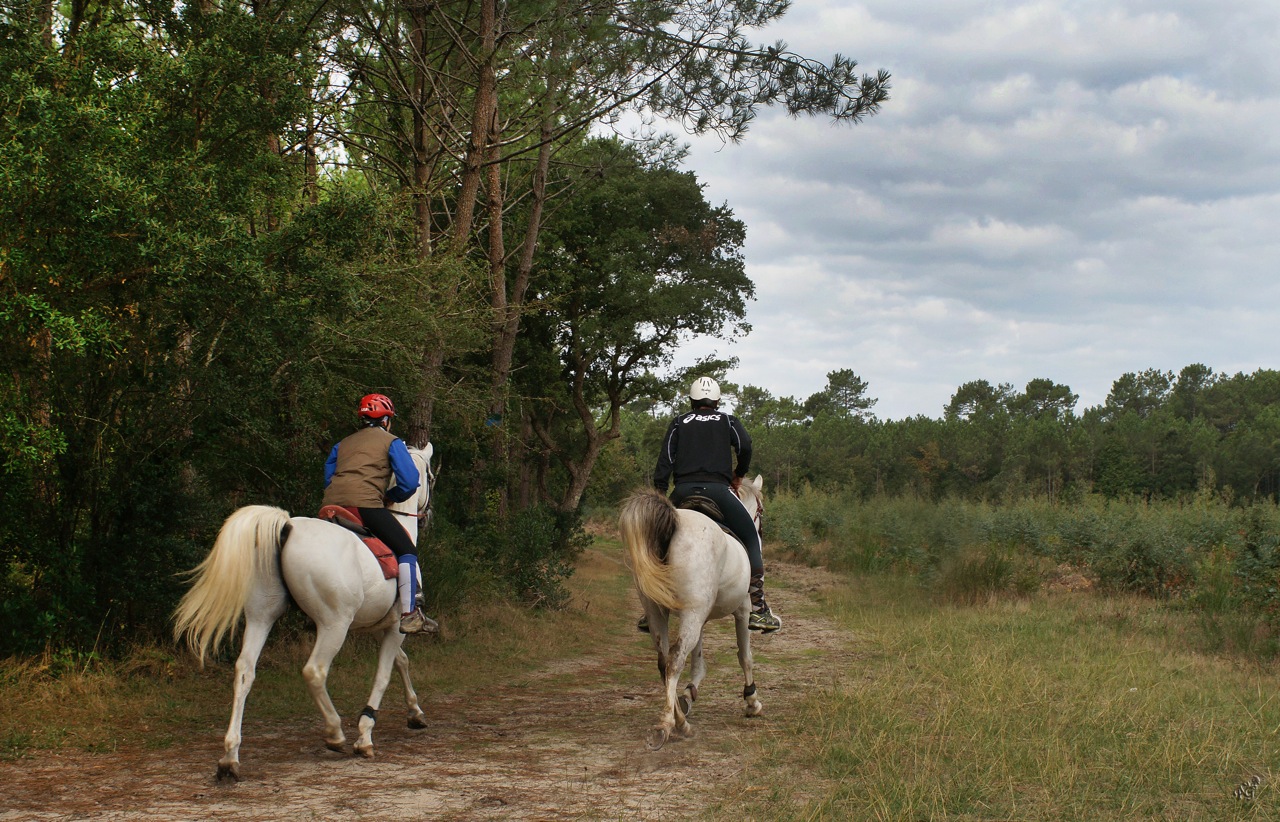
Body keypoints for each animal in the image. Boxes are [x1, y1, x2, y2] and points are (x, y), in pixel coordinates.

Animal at [175, 440, 435, 773]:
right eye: (430, 476)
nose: (427, 515)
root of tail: (287, 527)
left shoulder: (380, 626)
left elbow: (400, 662)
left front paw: (415, 712)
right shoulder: (394, 627)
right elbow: (384, 673)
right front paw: (365, 734)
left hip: (261, 616)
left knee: (245, 670)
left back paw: (230, 756)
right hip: (333, 625)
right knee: (315, 671)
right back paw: (335, 732)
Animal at [616, 473, 762, 747]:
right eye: (760, 511)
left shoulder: (700, 616)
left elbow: (698, 658)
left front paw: (688, 694)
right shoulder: (742, 610)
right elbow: (745, 656)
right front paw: (751, 700)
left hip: (659, 611)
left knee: (664, 662)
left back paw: (680, 719)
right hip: (692, 613)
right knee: (674, 660)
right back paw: (669, 725)